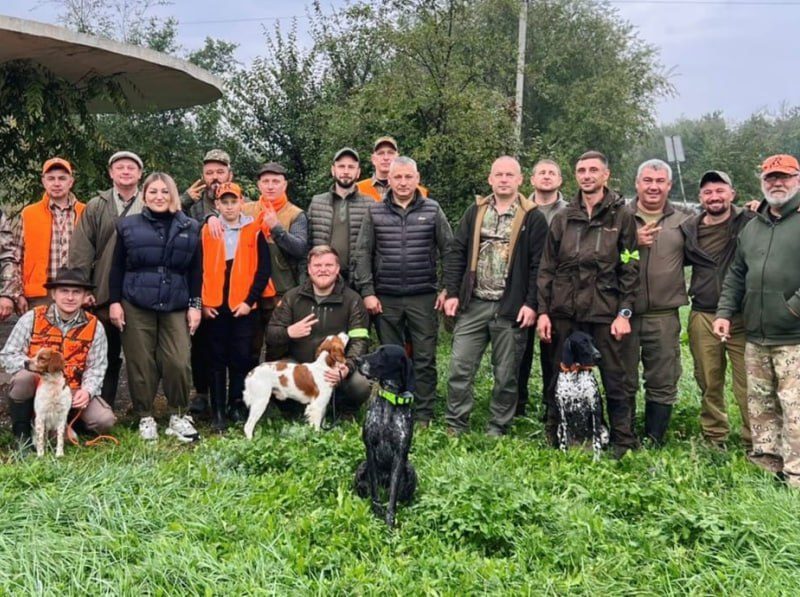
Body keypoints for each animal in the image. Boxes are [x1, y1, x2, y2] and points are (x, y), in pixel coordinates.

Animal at [356, 344, 418, 528]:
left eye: (383, 354)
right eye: (376, 349)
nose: (357, 360)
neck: (390, 399)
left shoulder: (400, 454)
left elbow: (393, 495)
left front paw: (390, 521)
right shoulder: (370, 448)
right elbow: (374, 489)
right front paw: (376, 511)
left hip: (410, 469)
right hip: (361, 467)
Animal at [556, 328, 608, 458]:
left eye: (593, 341)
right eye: (583, 343)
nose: (599, 356)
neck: (576, 372)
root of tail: (581, 449)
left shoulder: (595, 407)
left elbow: (596, 440)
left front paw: (596, 459)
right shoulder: (562, 409)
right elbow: (564, 440)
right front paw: (564, 455)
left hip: (605, 430)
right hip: (558, 428)